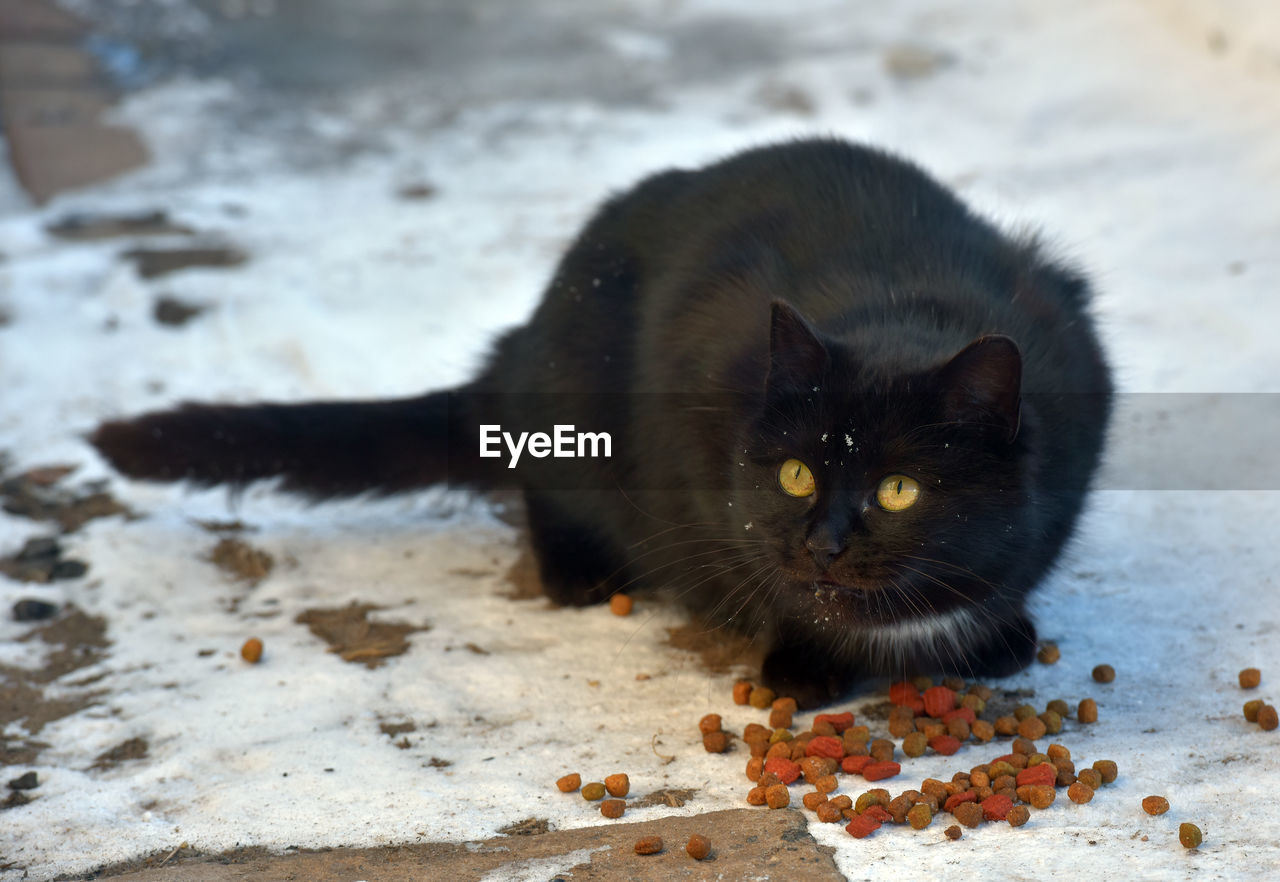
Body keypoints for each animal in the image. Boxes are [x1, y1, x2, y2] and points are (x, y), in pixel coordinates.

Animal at [92, 139, 1111, 706]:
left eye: (900, 488)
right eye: (795, 474)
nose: (823, 542)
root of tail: (524, 338)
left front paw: (993, 632)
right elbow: (758, 569)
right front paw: (806, 659)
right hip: (576, 405)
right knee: (544, 481)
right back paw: (580, 572)